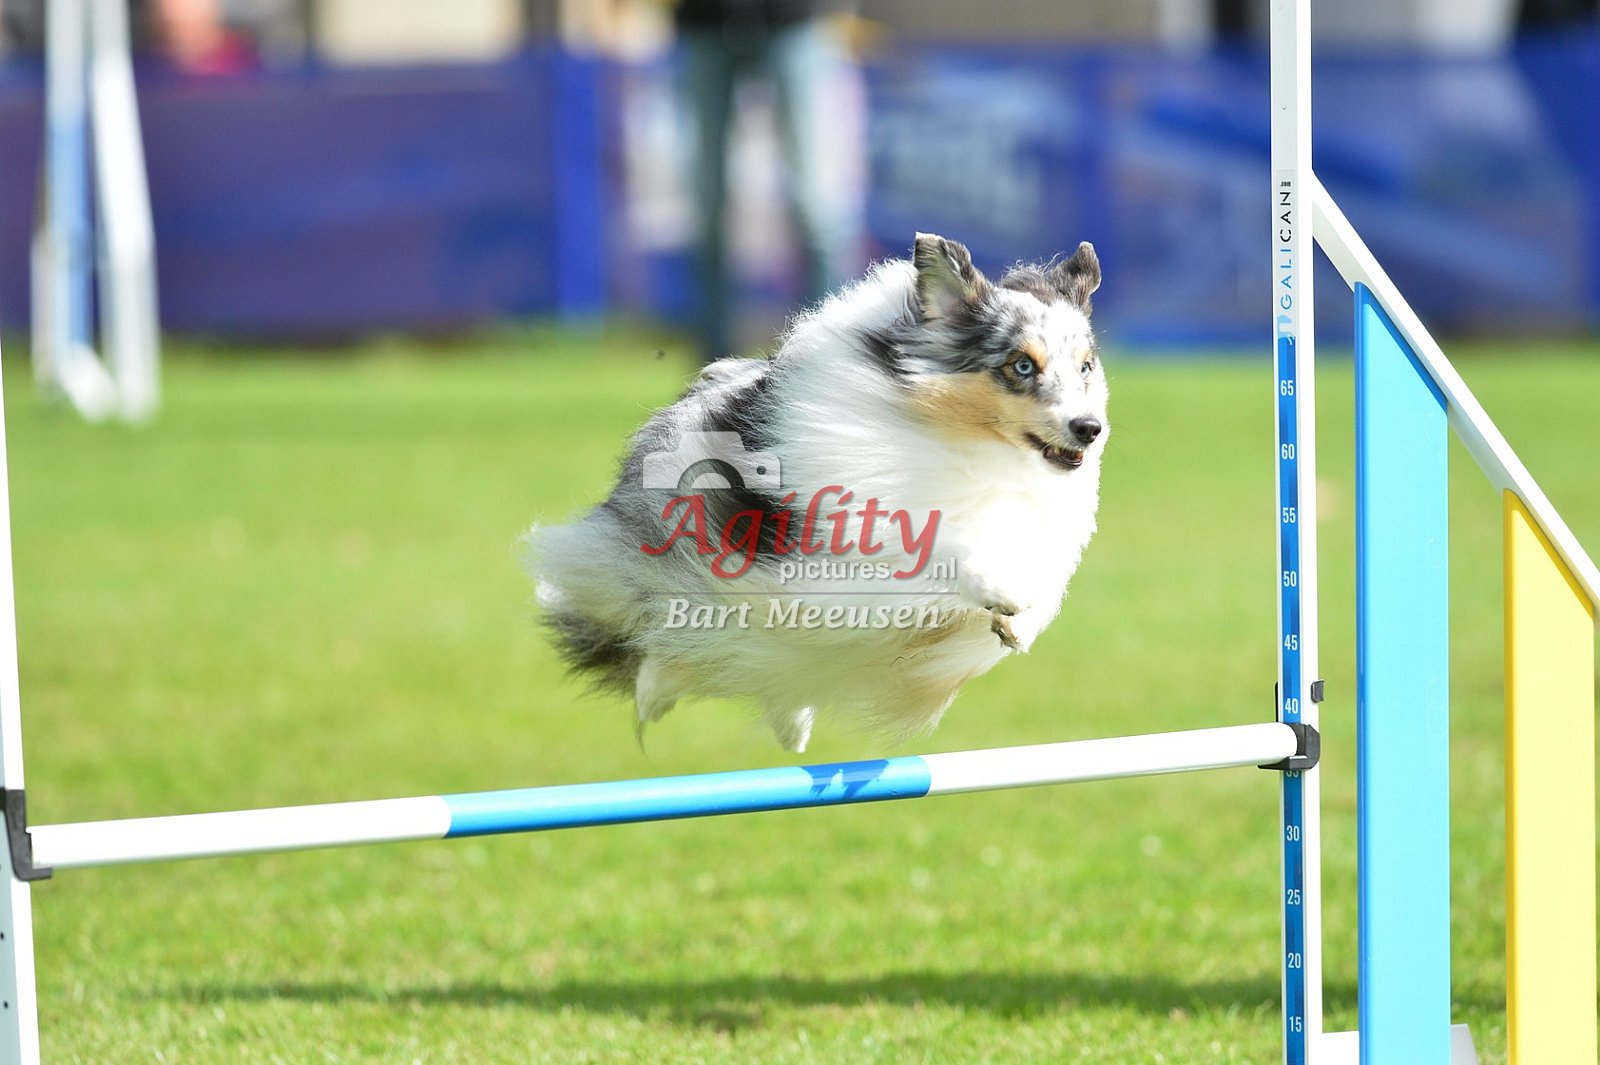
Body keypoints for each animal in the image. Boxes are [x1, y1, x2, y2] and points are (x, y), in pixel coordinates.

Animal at [522, 233, 1108, 752]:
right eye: (1022, 365)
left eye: (1085, 366)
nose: (1089, 428)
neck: (970, 448)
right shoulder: (840, 544)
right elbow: (936, 546)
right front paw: (1001, 589)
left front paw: (1017, 623)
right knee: (663, 635)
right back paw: (656, 696)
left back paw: (789, 726)